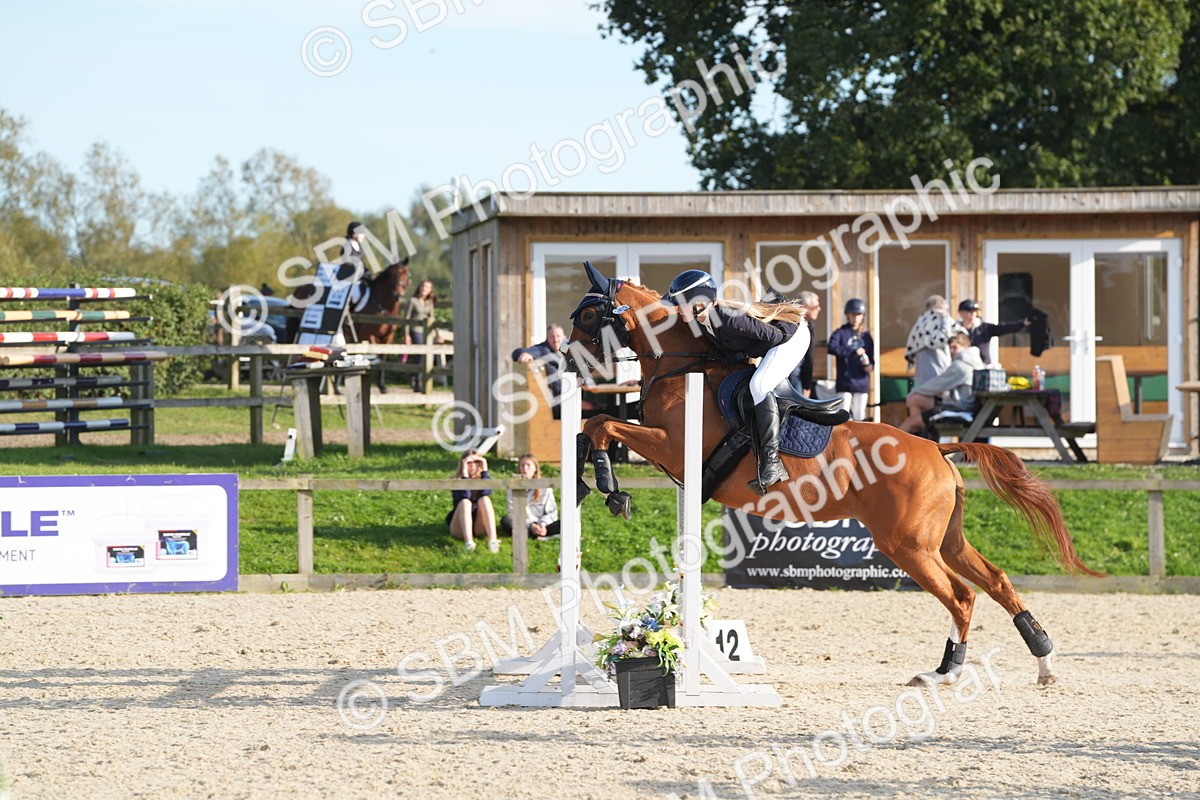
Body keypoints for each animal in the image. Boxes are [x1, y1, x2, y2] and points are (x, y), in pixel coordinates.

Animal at [565, 262, 1101, 687]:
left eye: (589, 315)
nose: (566, 361)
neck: (683, 361)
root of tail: (936, 446)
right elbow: (593, 426)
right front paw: (587, 482)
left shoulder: (672, 448)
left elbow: (604, 423)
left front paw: (611, 490)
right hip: (942, 540)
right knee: (995, 580)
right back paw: (1040, 662)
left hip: (908, 546)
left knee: (962, 596)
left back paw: (948, 671)